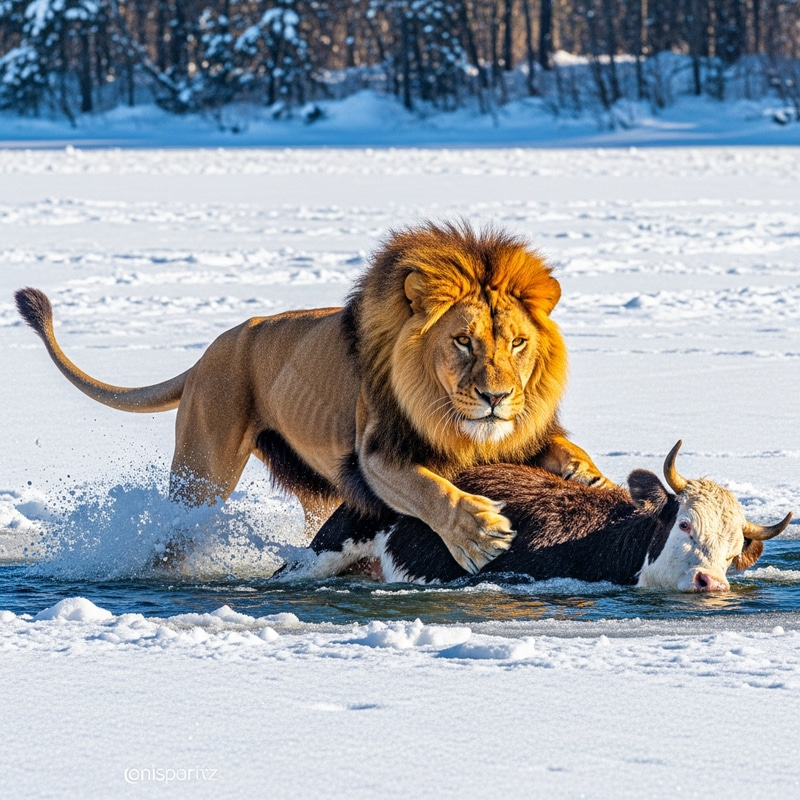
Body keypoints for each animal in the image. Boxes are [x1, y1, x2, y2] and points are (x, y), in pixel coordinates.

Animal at [15, 220, 609, 573]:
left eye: (517, 343)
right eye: (463, 341)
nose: (496, 396)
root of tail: (207, 356)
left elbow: (561, 450)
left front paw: (590, 478)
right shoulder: (374, 455)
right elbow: (430, 490)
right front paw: (481, 534)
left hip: (314, 489)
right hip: (202, 473)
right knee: (172, 534)